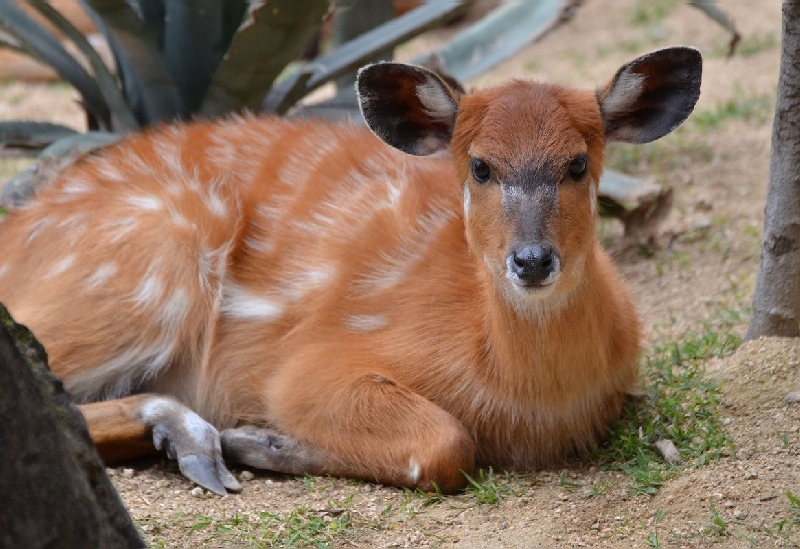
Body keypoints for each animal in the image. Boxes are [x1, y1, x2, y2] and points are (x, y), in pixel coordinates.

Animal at [0, 46, 700, 492]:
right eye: (480, 166)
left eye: (578, 163)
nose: (531, 261)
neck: (529, 399)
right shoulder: (309, 365)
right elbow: (446, 443)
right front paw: (260, 440)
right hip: (151, 259)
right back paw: (192, 436)